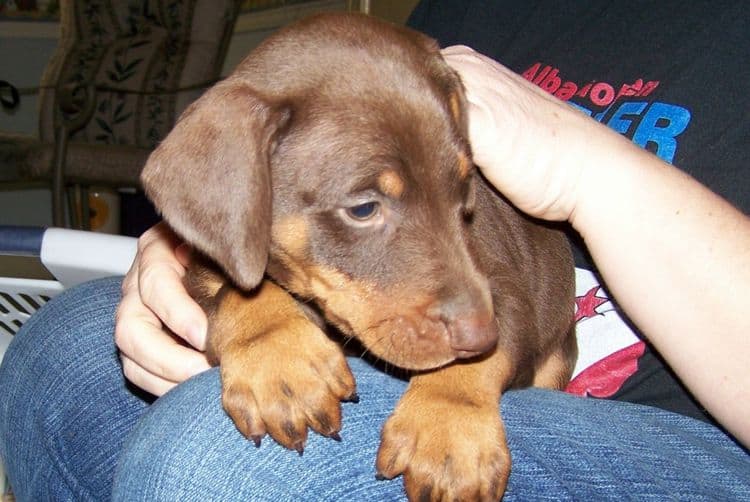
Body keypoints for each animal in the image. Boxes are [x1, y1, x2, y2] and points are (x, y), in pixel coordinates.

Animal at [141, 11, 576, 502]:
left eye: (465, 190)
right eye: (364, 209)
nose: (480, 335)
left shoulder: (502, 282)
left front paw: (448, 426)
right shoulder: (208, 265)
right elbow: (242, 292)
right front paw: (282, 361)